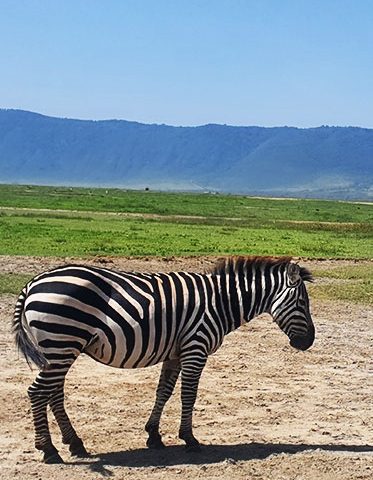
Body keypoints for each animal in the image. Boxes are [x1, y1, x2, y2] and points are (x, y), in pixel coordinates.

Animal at [12, 256, 314, 464]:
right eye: (302, 303)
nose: (308, 342)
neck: (221, 303)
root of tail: (33, 283)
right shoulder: (195, 347)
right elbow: (188, 394)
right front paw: (189, 439)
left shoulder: (175, 353)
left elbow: (164, 392)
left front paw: (153, 435)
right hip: (62, 343)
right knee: (37, 392)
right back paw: (49, 450)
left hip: (59, 348)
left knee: (53, 393)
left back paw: (75, 444)